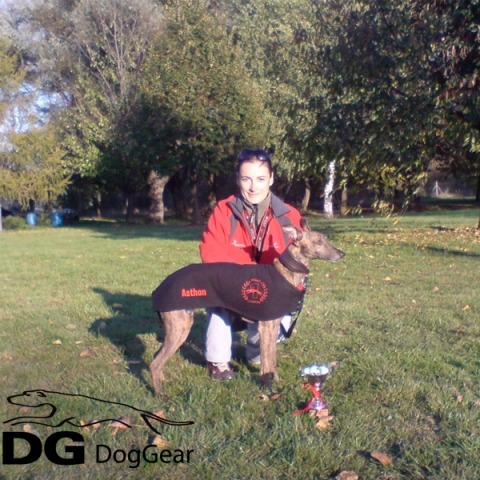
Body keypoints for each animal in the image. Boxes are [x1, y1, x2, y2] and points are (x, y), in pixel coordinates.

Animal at [150, 221, 345, 396]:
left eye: (326, 239)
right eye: (318, 241)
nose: (342, 253)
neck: (284, 273)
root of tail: (159, 289)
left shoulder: (273, 327)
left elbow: (272, 359)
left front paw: (277, 382)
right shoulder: (267, 327)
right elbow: (267, 363)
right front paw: (269, 389)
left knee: (156, 358)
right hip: (180, 327)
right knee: (155, 363)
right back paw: (161, 395)